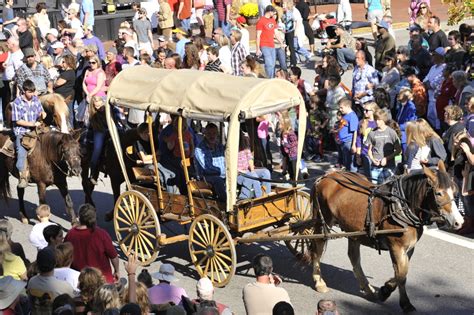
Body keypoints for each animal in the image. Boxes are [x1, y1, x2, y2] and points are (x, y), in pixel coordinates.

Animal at [312, 163, 462, 314]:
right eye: (438, 193)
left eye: (455, 191)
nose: (459, 222)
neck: (402, 207)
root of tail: (327, 176)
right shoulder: (396, 247)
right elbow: (401, 275)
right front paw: (402, 302)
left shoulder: (408, 249)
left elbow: (402, 272)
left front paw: (386, 289)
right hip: (322, 221)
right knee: (317, 250)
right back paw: (319, 282)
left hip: (353, 231)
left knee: (353, 257)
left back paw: (368, 288)